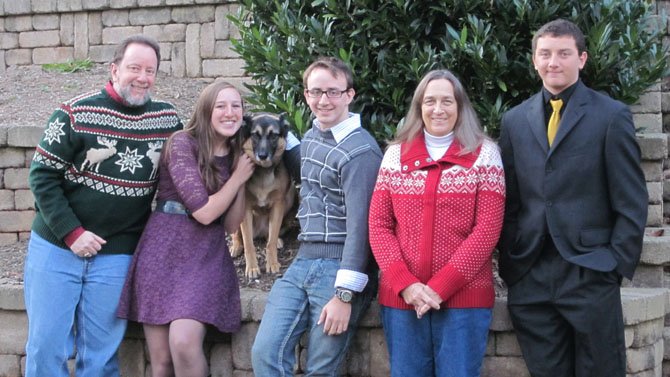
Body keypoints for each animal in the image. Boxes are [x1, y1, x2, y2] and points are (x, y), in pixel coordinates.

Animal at [231, 110, 296, 278]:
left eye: (274, 136)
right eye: (255, 135)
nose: (262, 155)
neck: (263, 172)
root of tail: (259, 232)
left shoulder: (278, 205)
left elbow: (270, 242)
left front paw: (272, 263)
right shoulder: (245, 208)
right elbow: (248, 244)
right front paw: (252, 267)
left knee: (271, 234)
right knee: (237, 235)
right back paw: (236, 246)